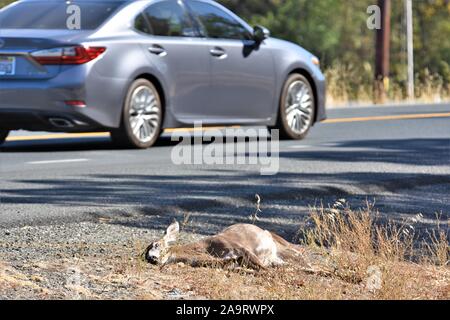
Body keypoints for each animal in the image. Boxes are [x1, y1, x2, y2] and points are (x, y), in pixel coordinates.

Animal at [145, 220, 320, 270]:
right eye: (144, 256)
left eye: (156, 244)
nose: (151, 259)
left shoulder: (238, 246)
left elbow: (264, 268)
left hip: (283, 246)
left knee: (303, 256)